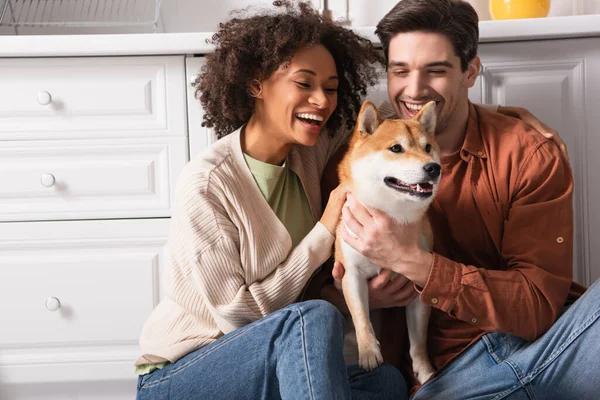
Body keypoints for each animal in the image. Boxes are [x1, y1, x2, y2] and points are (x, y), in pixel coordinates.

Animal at [338, 100, 440, 384]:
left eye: (428, 147)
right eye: (396, 148)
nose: (433, 167)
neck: (393, 215)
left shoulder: (419, 287)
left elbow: (418, 341)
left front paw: (424, 369)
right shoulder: (351, 275)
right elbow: (361, 319)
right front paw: (368, 353)